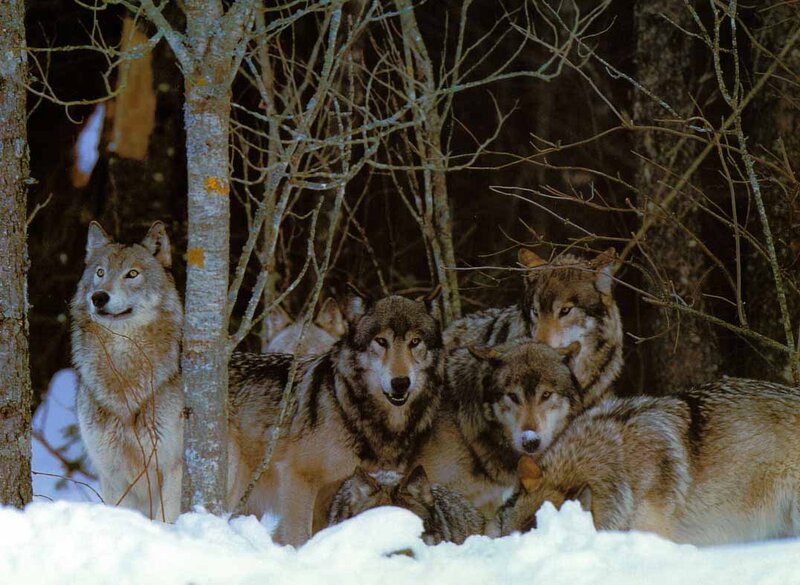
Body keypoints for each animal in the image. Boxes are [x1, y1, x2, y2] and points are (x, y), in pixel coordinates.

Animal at [71, 221, 183, 521]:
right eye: (100, 272)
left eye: (132, 274)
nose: (98, 297)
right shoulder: (112, 474)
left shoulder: (172, 466)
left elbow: (164, 519)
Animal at [227, 291, 445, 546]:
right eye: (381, 342)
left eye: (415, 342)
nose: (400, 383)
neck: (347, 409)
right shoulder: (296, 478)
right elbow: (298, 537)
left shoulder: (333, 496)